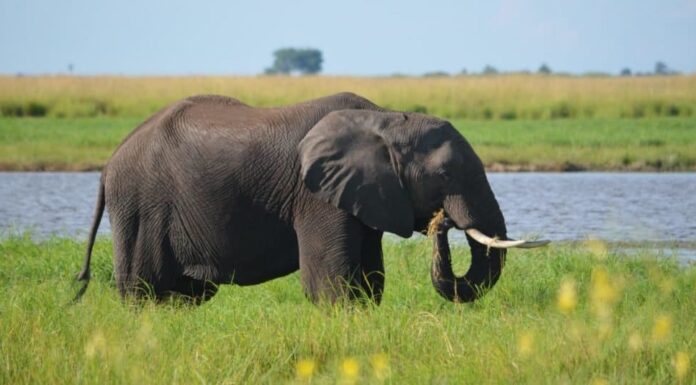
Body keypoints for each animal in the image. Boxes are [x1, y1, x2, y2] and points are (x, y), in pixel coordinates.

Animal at [73, 92, 548, 304]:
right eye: (446, 174)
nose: (442, 222)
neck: (386, 119)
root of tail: (109, 164)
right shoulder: (316, 195)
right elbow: (331, 281)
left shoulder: (362, 196)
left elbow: (370, 279)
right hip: (142, 206)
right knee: (145, 290)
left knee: (184, 295)